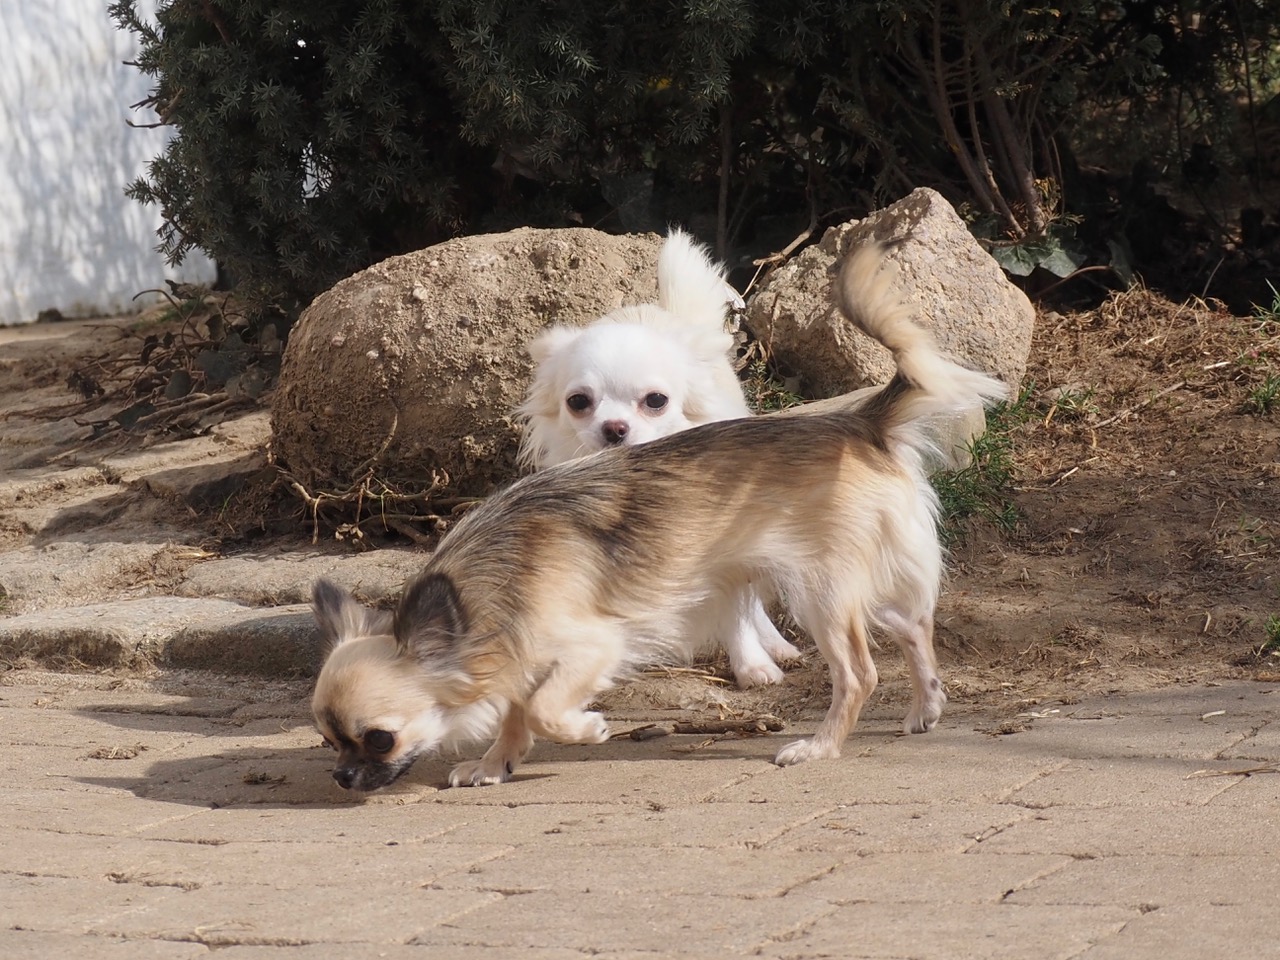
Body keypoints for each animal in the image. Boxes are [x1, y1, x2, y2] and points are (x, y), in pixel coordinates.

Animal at [516, 228, 801, 687]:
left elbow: (735, 611)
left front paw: (752, 665)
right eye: (578, 402)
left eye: (655, 401)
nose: (614, 428)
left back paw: (775, 646)